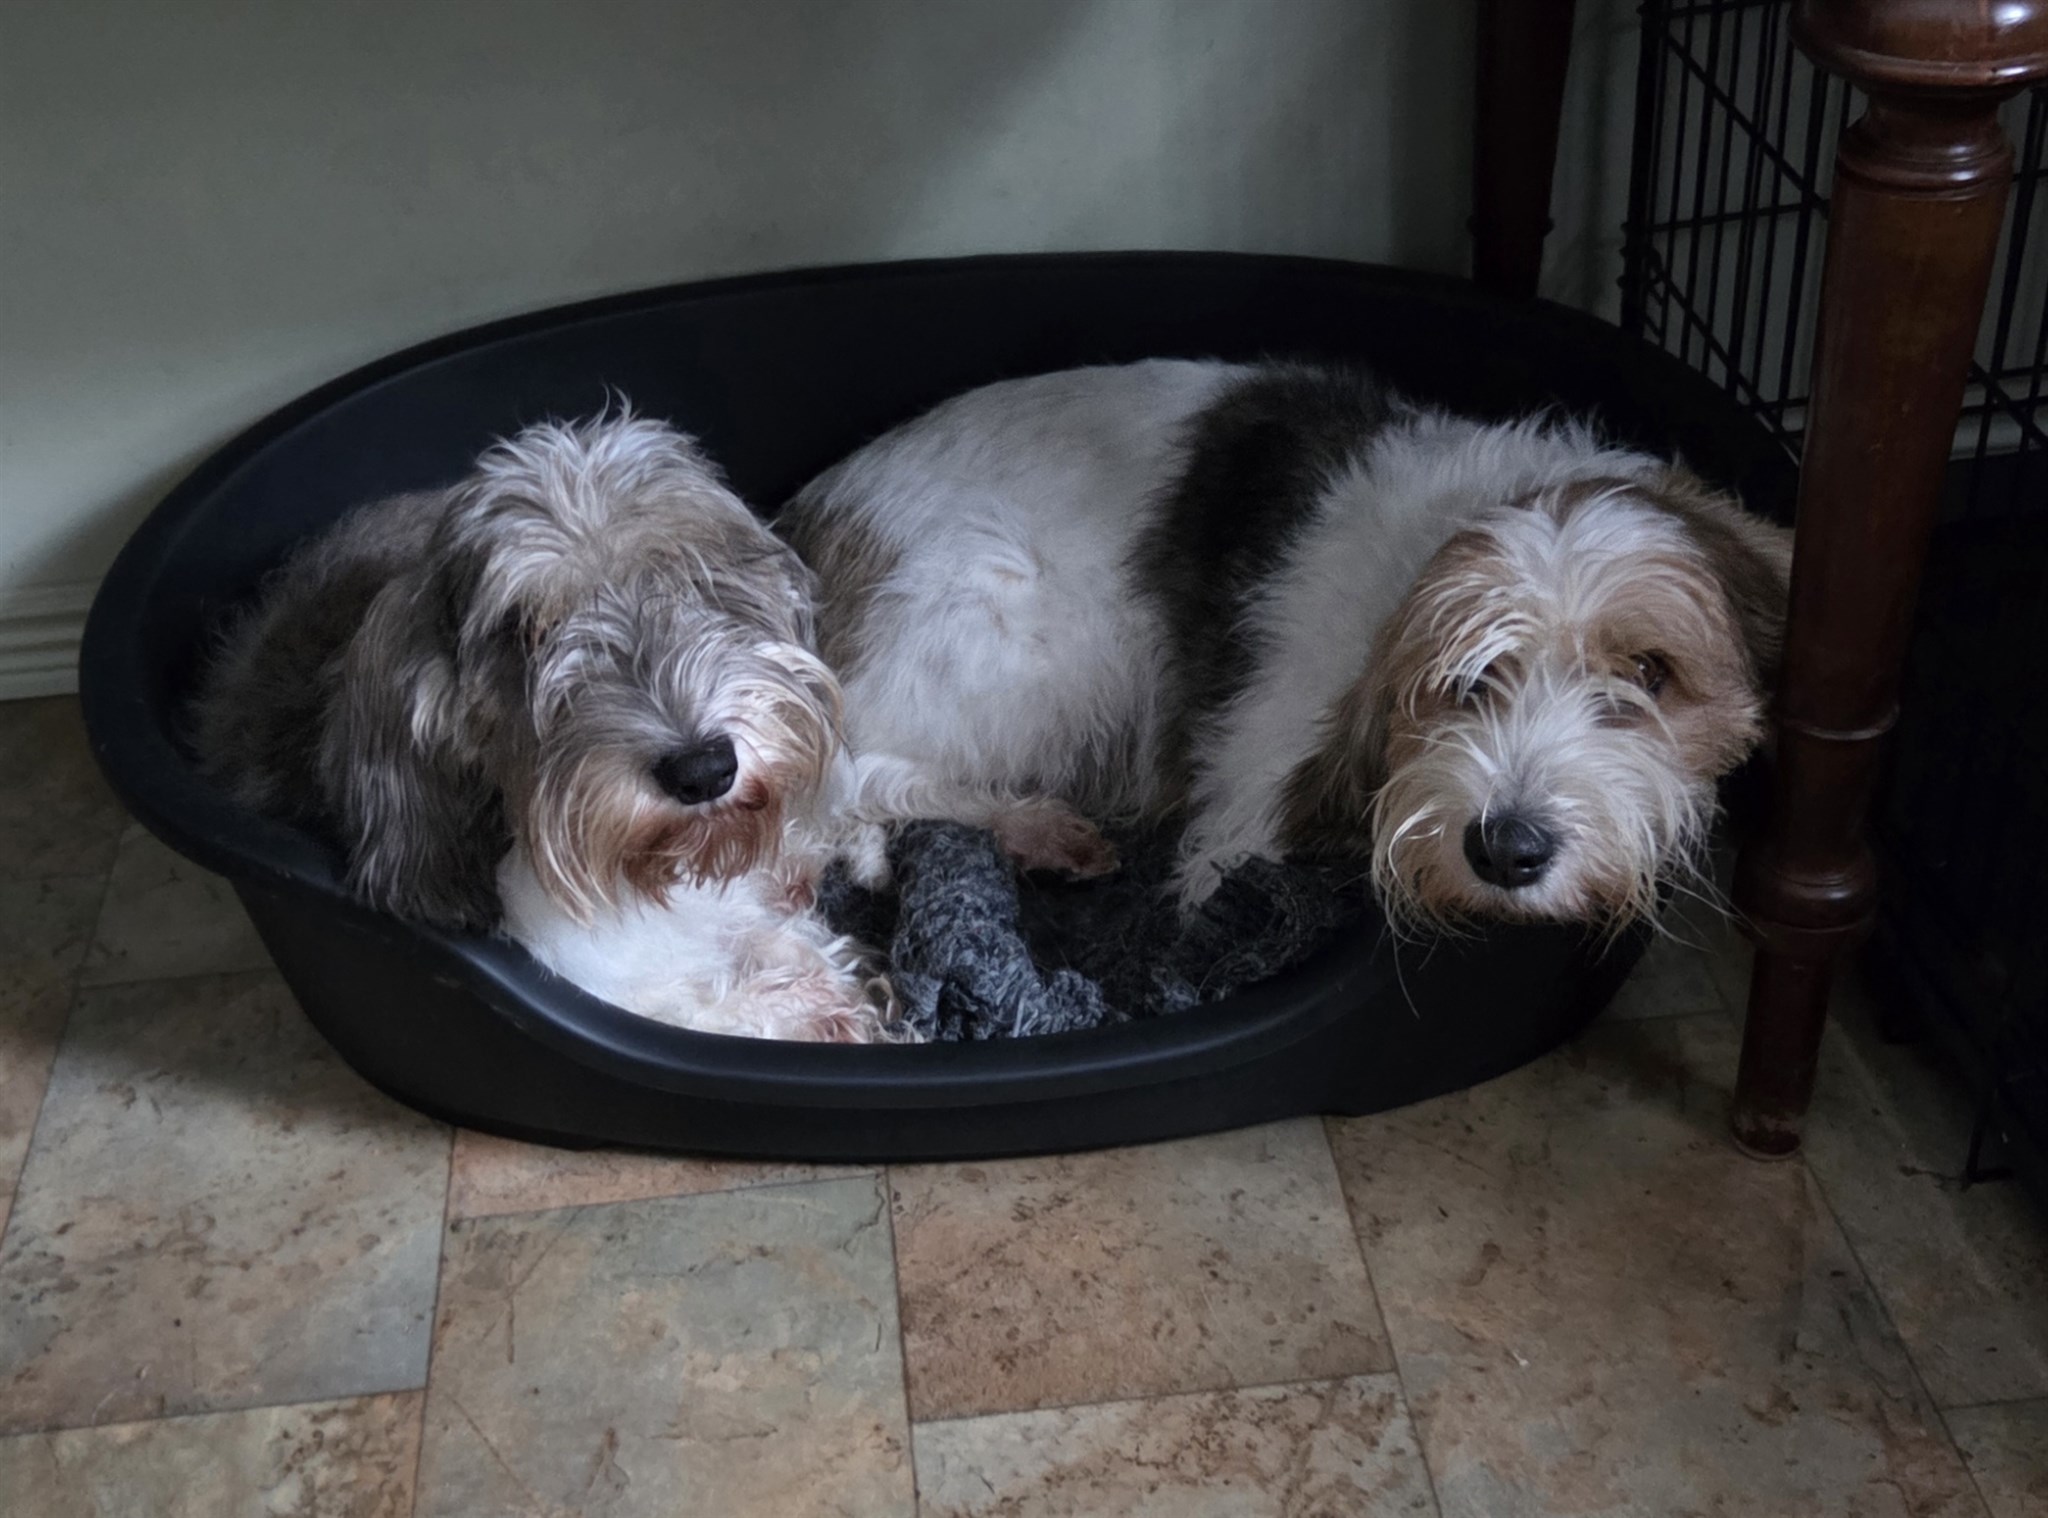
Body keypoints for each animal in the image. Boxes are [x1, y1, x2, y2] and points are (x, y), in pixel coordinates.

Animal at [194, 412, 897, 1041]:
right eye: (525, 629)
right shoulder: (623, 987)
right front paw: (821, 1006)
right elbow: (722, 1002)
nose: (703, 770)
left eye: (696, 579)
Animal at [781, 359, 1794, 930]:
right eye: (1460, 680)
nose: (1508, 850)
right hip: (1030, 633)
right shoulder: (1241, 833)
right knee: (859, 773)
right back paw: (1039, 829)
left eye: (1652, 675)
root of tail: (803, 522)